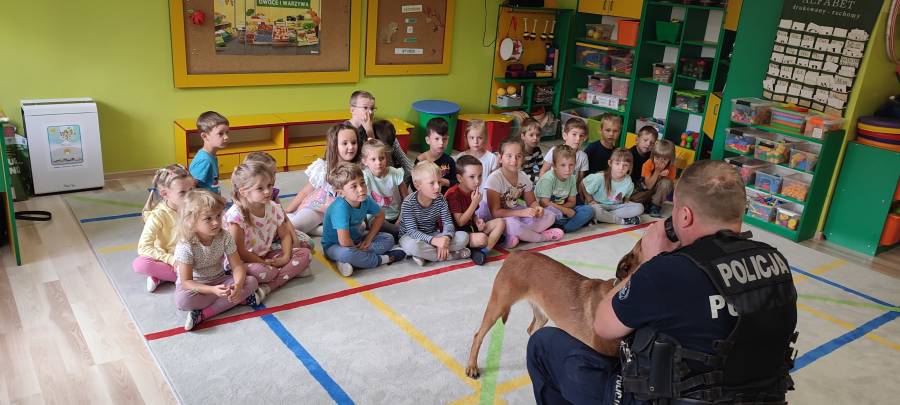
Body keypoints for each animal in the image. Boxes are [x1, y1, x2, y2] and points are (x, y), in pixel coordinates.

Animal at [465, 240, 642, 379]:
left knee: (531, 330)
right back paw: (472, 366)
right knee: (478, 336)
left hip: (542, 315)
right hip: (498, 304)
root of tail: (515, 254)